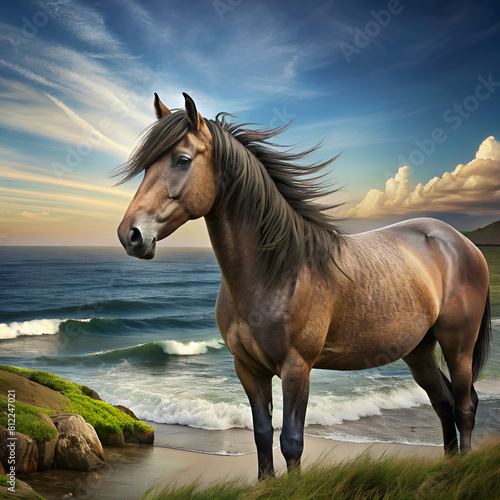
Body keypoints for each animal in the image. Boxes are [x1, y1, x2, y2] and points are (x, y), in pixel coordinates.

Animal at [117, 92, 492, 478]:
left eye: (182, 160)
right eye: (146, 167)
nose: (130, 234)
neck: (276, 272)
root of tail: (462, 243)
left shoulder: (297, 368)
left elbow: (291, 441)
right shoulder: (248, 369)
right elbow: (262, 435)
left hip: (458, 346)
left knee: (464, 405)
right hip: (418, 350)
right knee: (443, 403)